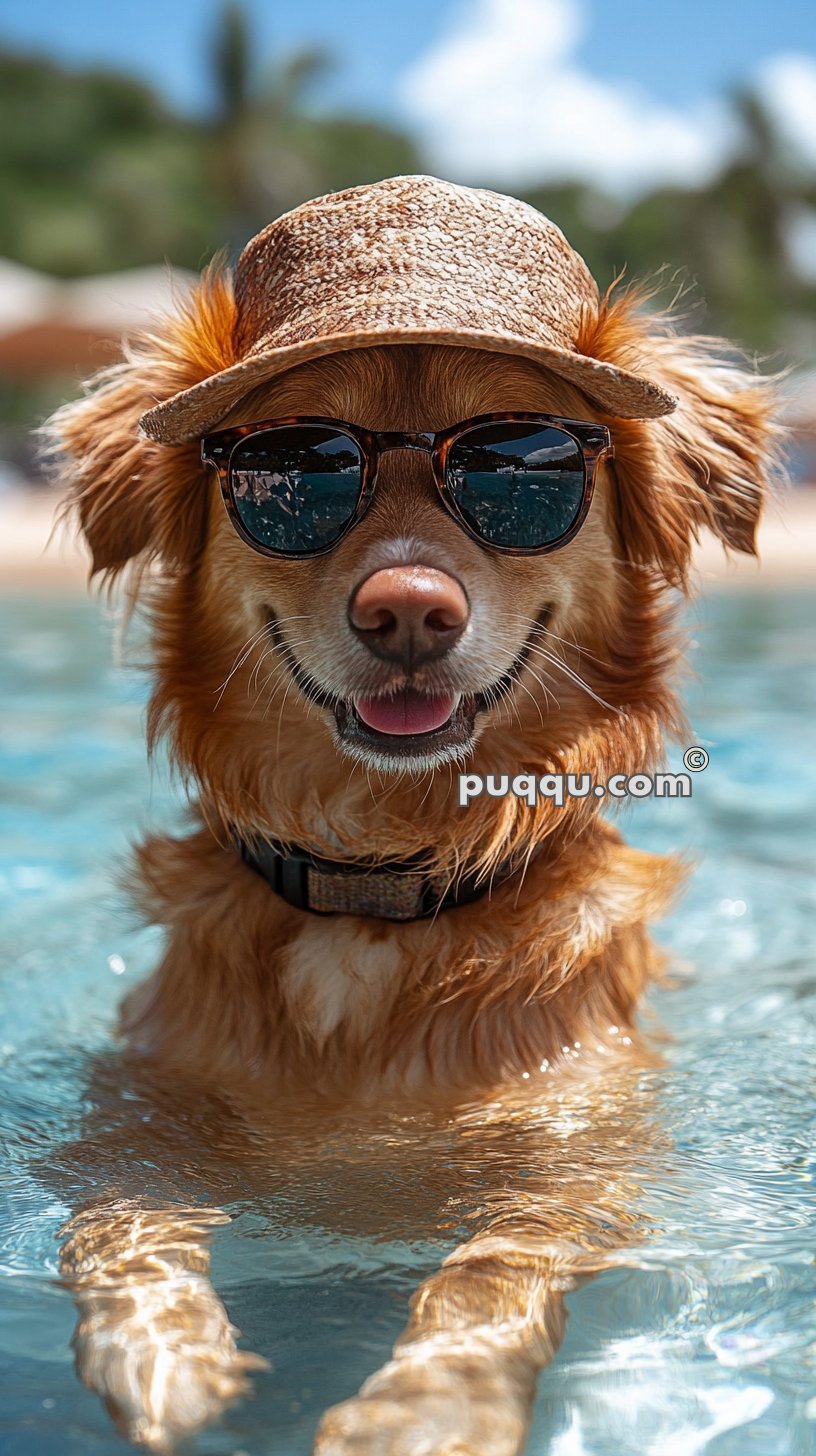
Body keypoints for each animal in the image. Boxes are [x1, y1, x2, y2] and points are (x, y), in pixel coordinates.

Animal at [46, 176, 775, 1450]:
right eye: (295, 470)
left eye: (520, 468)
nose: (408, 609)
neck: (376, 885)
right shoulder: (138, 1100)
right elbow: (116, 1205)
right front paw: (160, 1346)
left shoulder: (579, 1154)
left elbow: (494, 1268)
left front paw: (424, 1406)